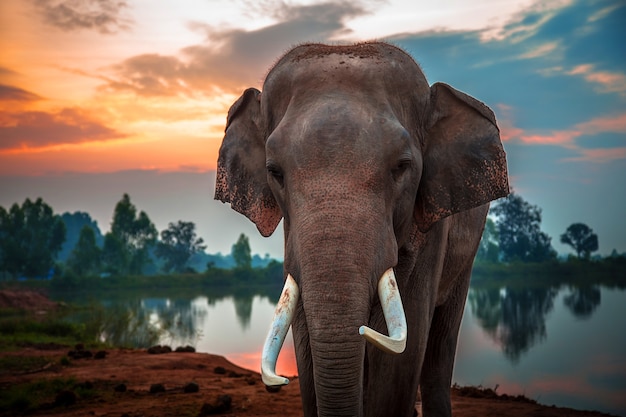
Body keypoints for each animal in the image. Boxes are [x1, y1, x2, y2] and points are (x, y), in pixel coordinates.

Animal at [214, 43, 508, 416]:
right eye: (274, 171)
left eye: (402, 166)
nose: (279, 381)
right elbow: (306, 336)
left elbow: (404, 352)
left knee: (440, 347)